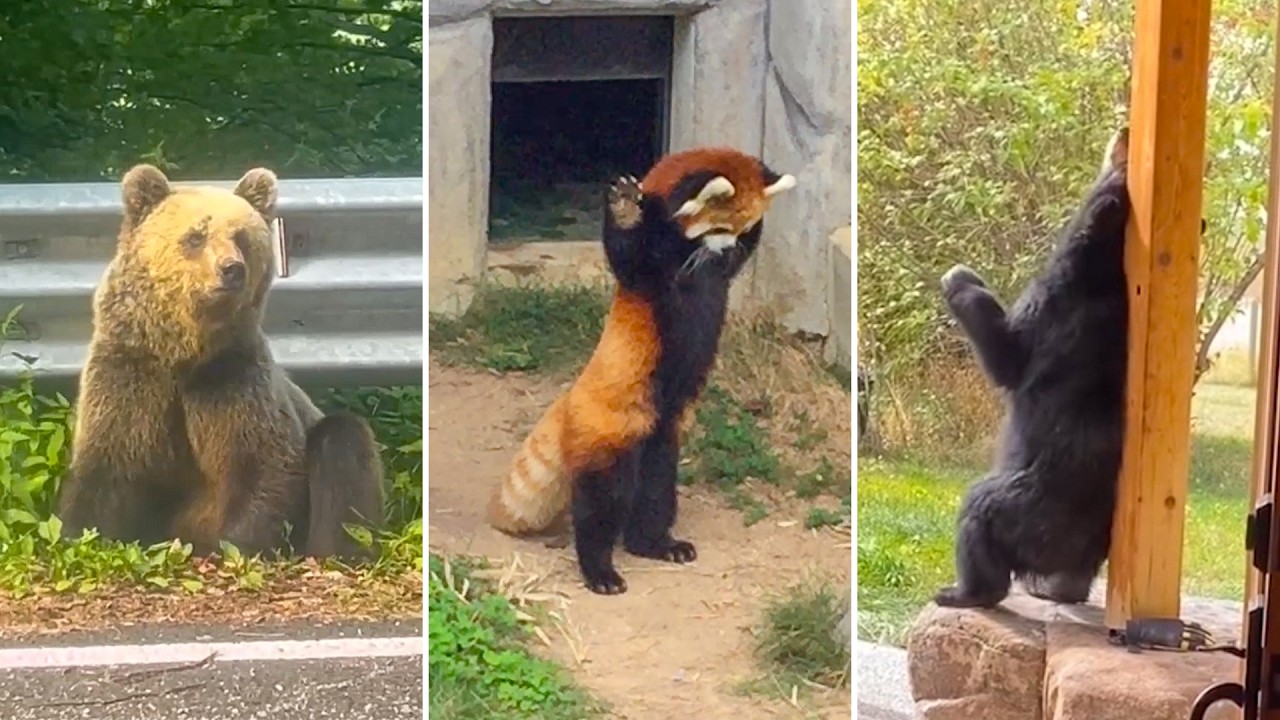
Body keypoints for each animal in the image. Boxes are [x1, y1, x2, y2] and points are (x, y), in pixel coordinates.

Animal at [55, 164, 386, 560]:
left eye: (241, 236)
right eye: (196, 236)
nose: (231, 269)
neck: (186, 353)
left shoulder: (231, 377)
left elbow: (262, 465)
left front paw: (234, 544)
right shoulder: (132, 371)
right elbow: (107, 465)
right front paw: (80, 535)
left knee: (342, 444)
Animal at [931, 127, 1133, 608]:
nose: (1124, 129)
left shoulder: (1052, 313)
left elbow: (1006, 354)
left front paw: (960, 279)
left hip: (1025, 509)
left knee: (979, 515)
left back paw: (967, 592)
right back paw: (1059, 588)